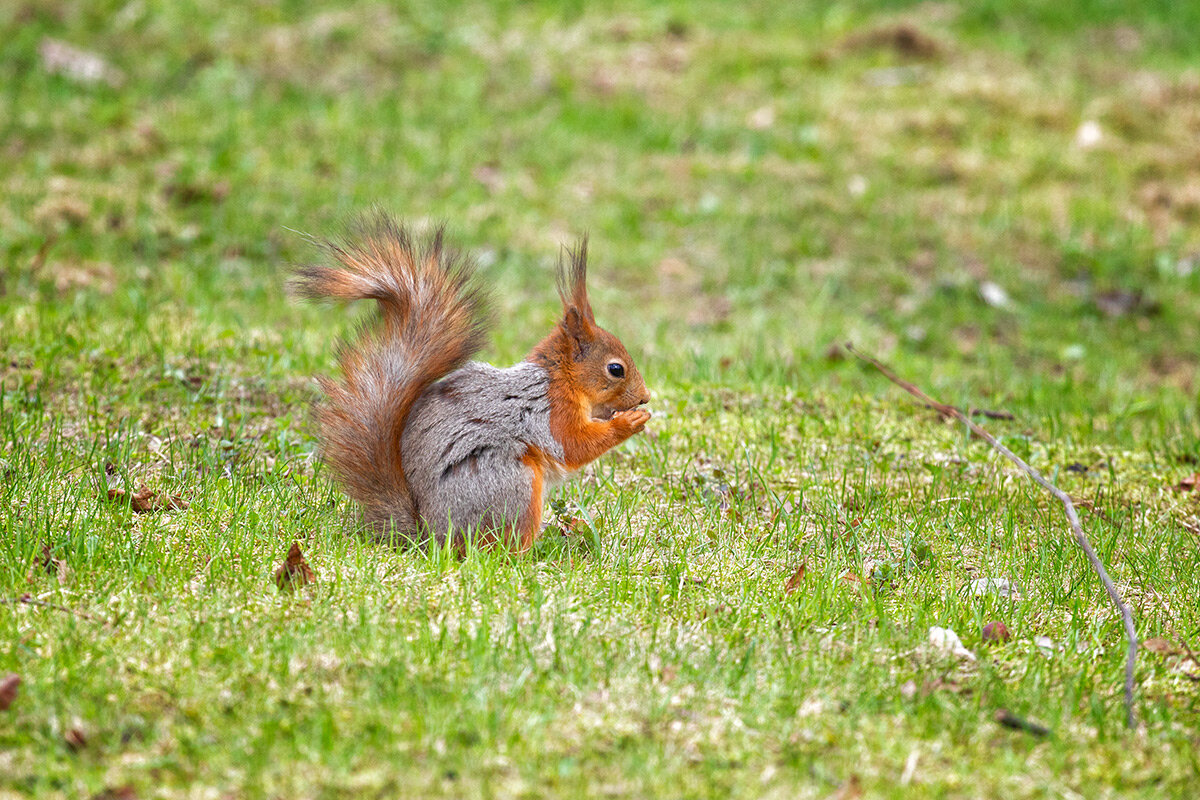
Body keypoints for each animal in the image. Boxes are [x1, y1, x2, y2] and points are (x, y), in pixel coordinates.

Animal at [295, 212, 652, 551]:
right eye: (616, 369)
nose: (645, 397)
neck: (560, 377)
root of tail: (430, 537)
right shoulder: (549, 411)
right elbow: (572, 444)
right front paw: (630, 422)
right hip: (513, 484)